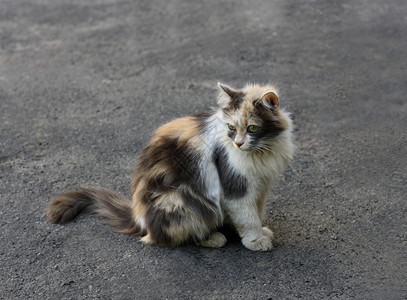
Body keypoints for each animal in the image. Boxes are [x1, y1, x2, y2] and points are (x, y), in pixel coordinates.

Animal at [46, 81, 294, 251]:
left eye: (252, 128)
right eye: (231, 128)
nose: (238, 143)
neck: (261, 151)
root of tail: (138, 217)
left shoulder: (260, 186)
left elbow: (256, 211)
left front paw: (260, 231)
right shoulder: (235, 186)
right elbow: (247, 216)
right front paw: (255, 240)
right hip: (184, 202)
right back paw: (214, 238)